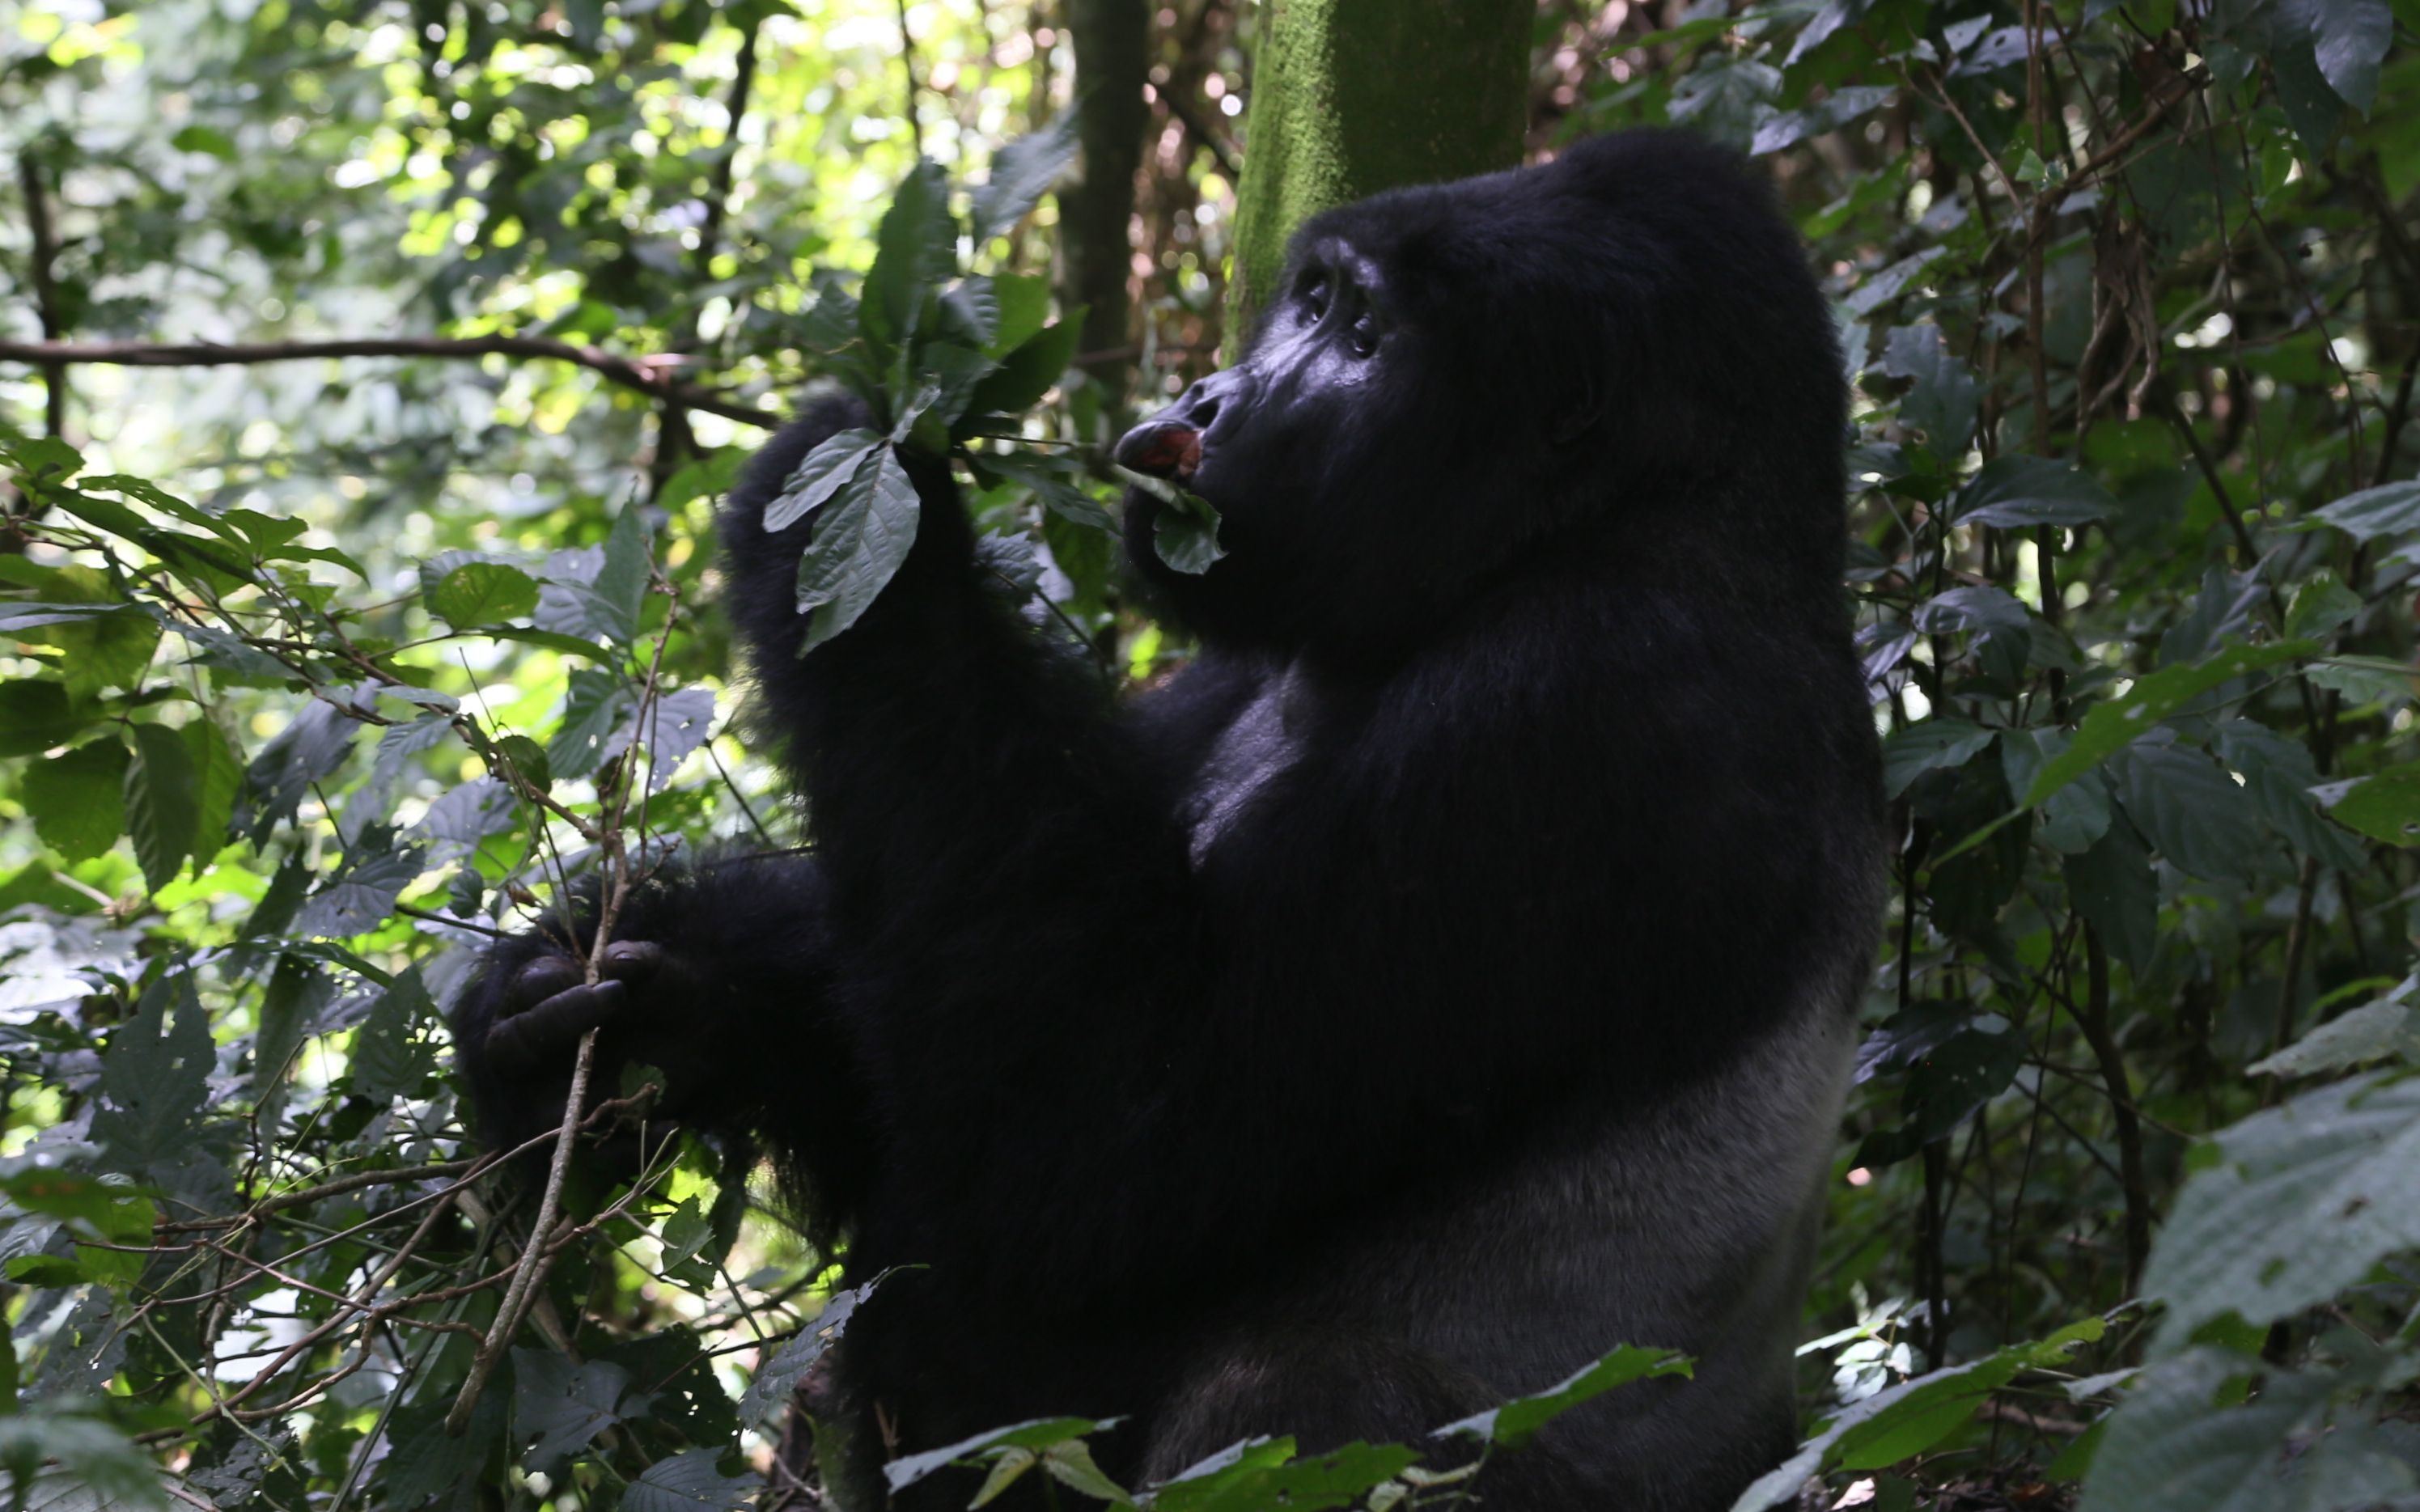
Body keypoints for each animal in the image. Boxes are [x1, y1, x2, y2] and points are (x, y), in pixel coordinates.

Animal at [457, 132, 1887, 1510]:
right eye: (1309, 300)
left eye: (1361, 338)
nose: (1207, 402)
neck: (1652, 519)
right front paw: (639, 1007)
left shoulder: (1579, 700)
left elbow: (1089, 1151)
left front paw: (848, 491)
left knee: (1293, 1395)